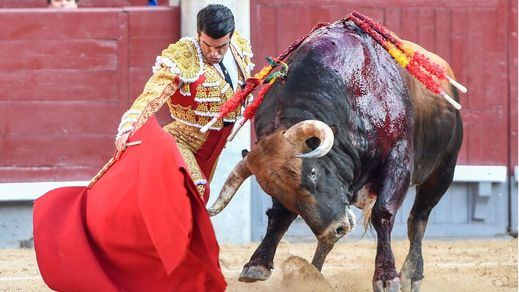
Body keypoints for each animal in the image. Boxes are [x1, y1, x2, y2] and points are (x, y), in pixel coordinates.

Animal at [207, 18, 464, 292]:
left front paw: (386, 277)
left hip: (443, 171)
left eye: (312, 171)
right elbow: (279, 216)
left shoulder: (398, 158)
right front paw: (257, 265)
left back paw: (412, 274)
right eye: (274, 191)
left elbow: (383, 213)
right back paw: (312, 274)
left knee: (418, 219)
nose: (336, 229)